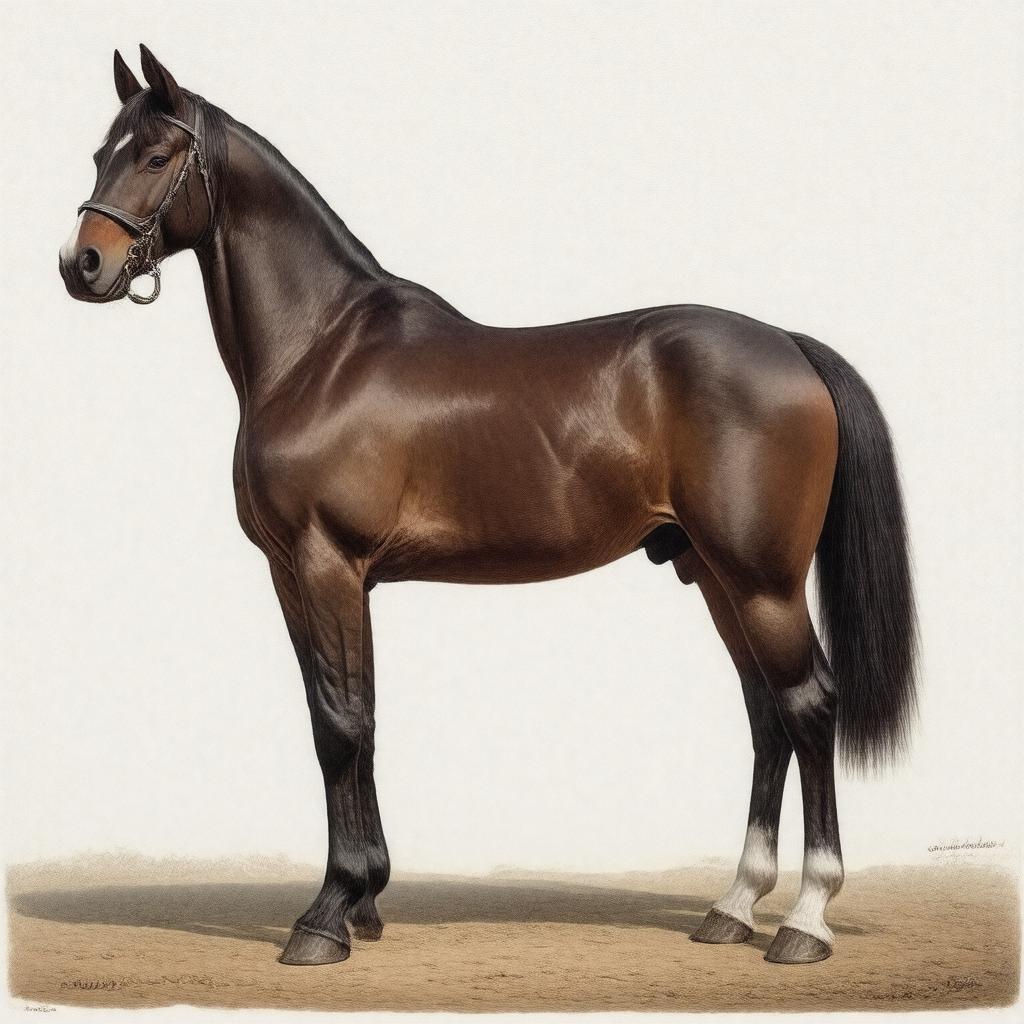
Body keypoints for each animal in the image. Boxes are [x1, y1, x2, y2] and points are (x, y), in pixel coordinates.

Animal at [59, 46, 917, 968]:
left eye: (155, 156)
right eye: (101, 153)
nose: (82, 264)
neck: (322, 350)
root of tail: (788, 344)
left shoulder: (328, 563)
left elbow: (340, 725)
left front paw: (325, 916)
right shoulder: (301, 575)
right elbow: (347, 718)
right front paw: (364, 900)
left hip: (762, 581)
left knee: (809, 706)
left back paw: (805, 921)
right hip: (715, 575)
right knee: (766, 714)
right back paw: (732, 906)